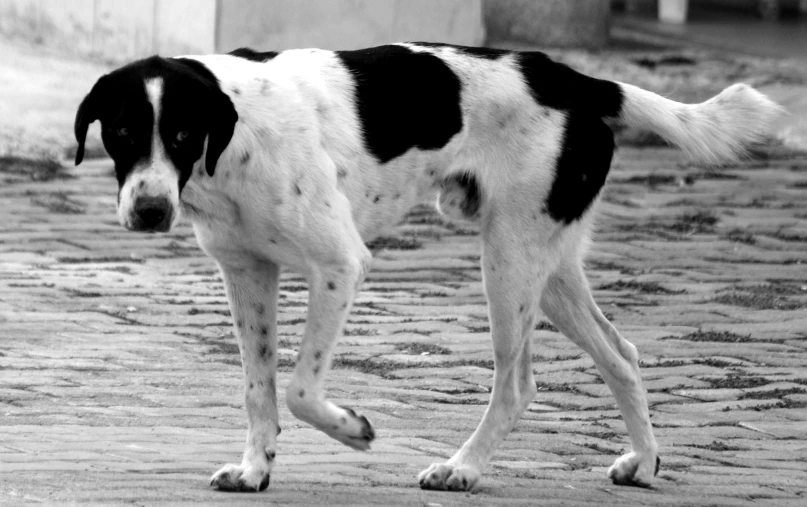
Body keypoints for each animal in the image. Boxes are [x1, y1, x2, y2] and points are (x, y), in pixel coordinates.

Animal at [76, 42, 784, 492]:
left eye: (180, 135)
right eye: (121, 132)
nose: (149, 210)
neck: (232, 141)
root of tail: (572, 79)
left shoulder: (339, 265)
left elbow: (300, 390)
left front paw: (354, 431)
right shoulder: (246, 272)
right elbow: (259, 389)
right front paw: (255, 470)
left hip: (509, 261)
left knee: (518, 384)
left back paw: (464, 469)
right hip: (548, 268)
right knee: (623, 355)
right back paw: (644, 462)